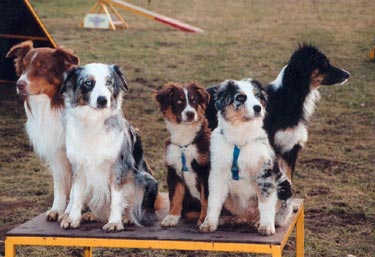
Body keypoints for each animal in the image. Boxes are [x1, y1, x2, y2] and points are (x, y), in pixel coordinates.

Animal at [6, 41, 79, 221]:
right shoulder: (56, 152)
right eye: (24, 67)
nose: (19, 84)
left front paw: (68, 214)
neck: (52, 104)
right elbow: (59, 185)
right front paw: (57, 209)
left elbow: (76, 190)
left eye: (44, 67)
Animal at [61, 63, 158, 230]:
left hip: (143, 179)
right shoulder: (78, 167)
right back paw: (90, 215)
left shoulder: (118, 166)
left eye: (109, 82)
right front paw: (72, 218)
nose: (102, 100)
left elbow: (117, 197)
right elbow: (77, 195)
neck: (94, 121)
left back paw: (126, 217)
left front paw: (114, 222)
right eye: (88, 83)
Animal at [155, 82, 212, 226]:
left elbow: (206, 199)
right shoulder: (173, 170)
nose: (190, 114)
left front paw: (204, 219)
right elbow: (175, 196)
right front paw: (171, 217)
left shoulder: (206, 170)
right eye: (178, 101)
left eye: (194, 101)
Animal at [200, 79, 294, 235]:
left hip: (284, 184)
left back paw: (259, 222)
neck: (240, 139)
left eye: (257, 96)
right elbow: (214, 201)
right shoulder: (217, 173)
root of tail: (246, 217)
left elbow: (265, 203)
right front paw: (208, 224)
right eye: (240, 97)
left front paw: (266, 227)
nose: (258, 108)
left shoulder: (265, 173)